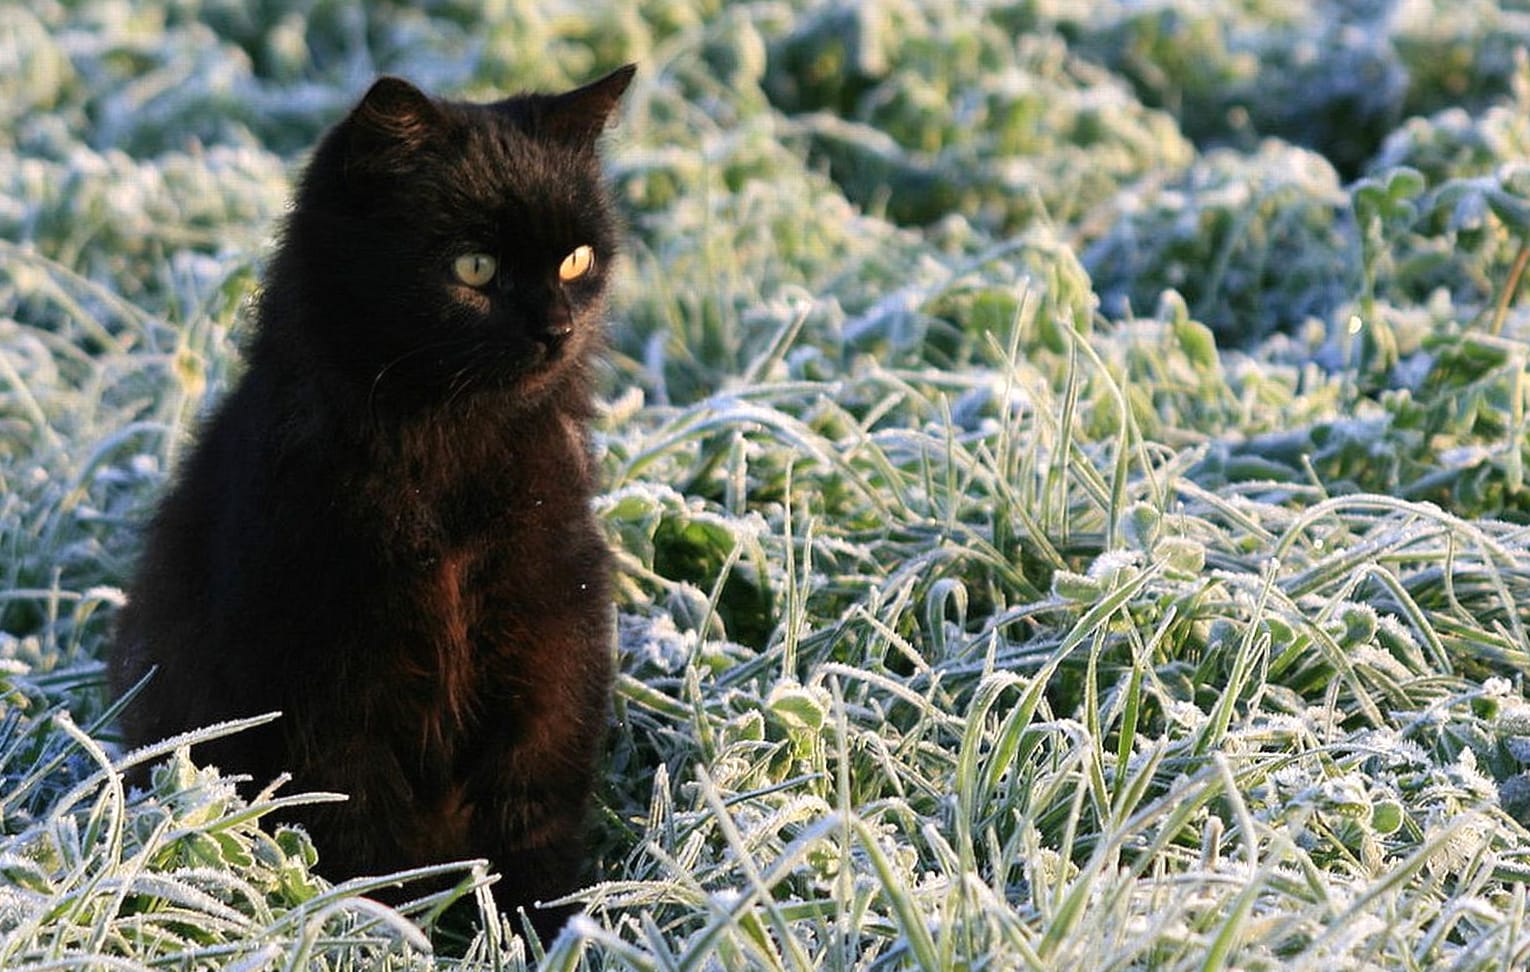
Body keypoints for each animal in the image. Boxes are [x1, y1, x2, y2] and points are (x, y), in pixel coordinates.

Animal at [110, 64, 630, 936]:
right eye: (474, 268)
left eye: (576, 260)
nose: (558, 330)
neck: (447, 450)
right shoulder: (328, 681)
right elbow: (360, 832)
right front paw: (388, 930)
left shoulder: (548, 645)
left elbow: (533, 808)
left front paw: (542, 928)